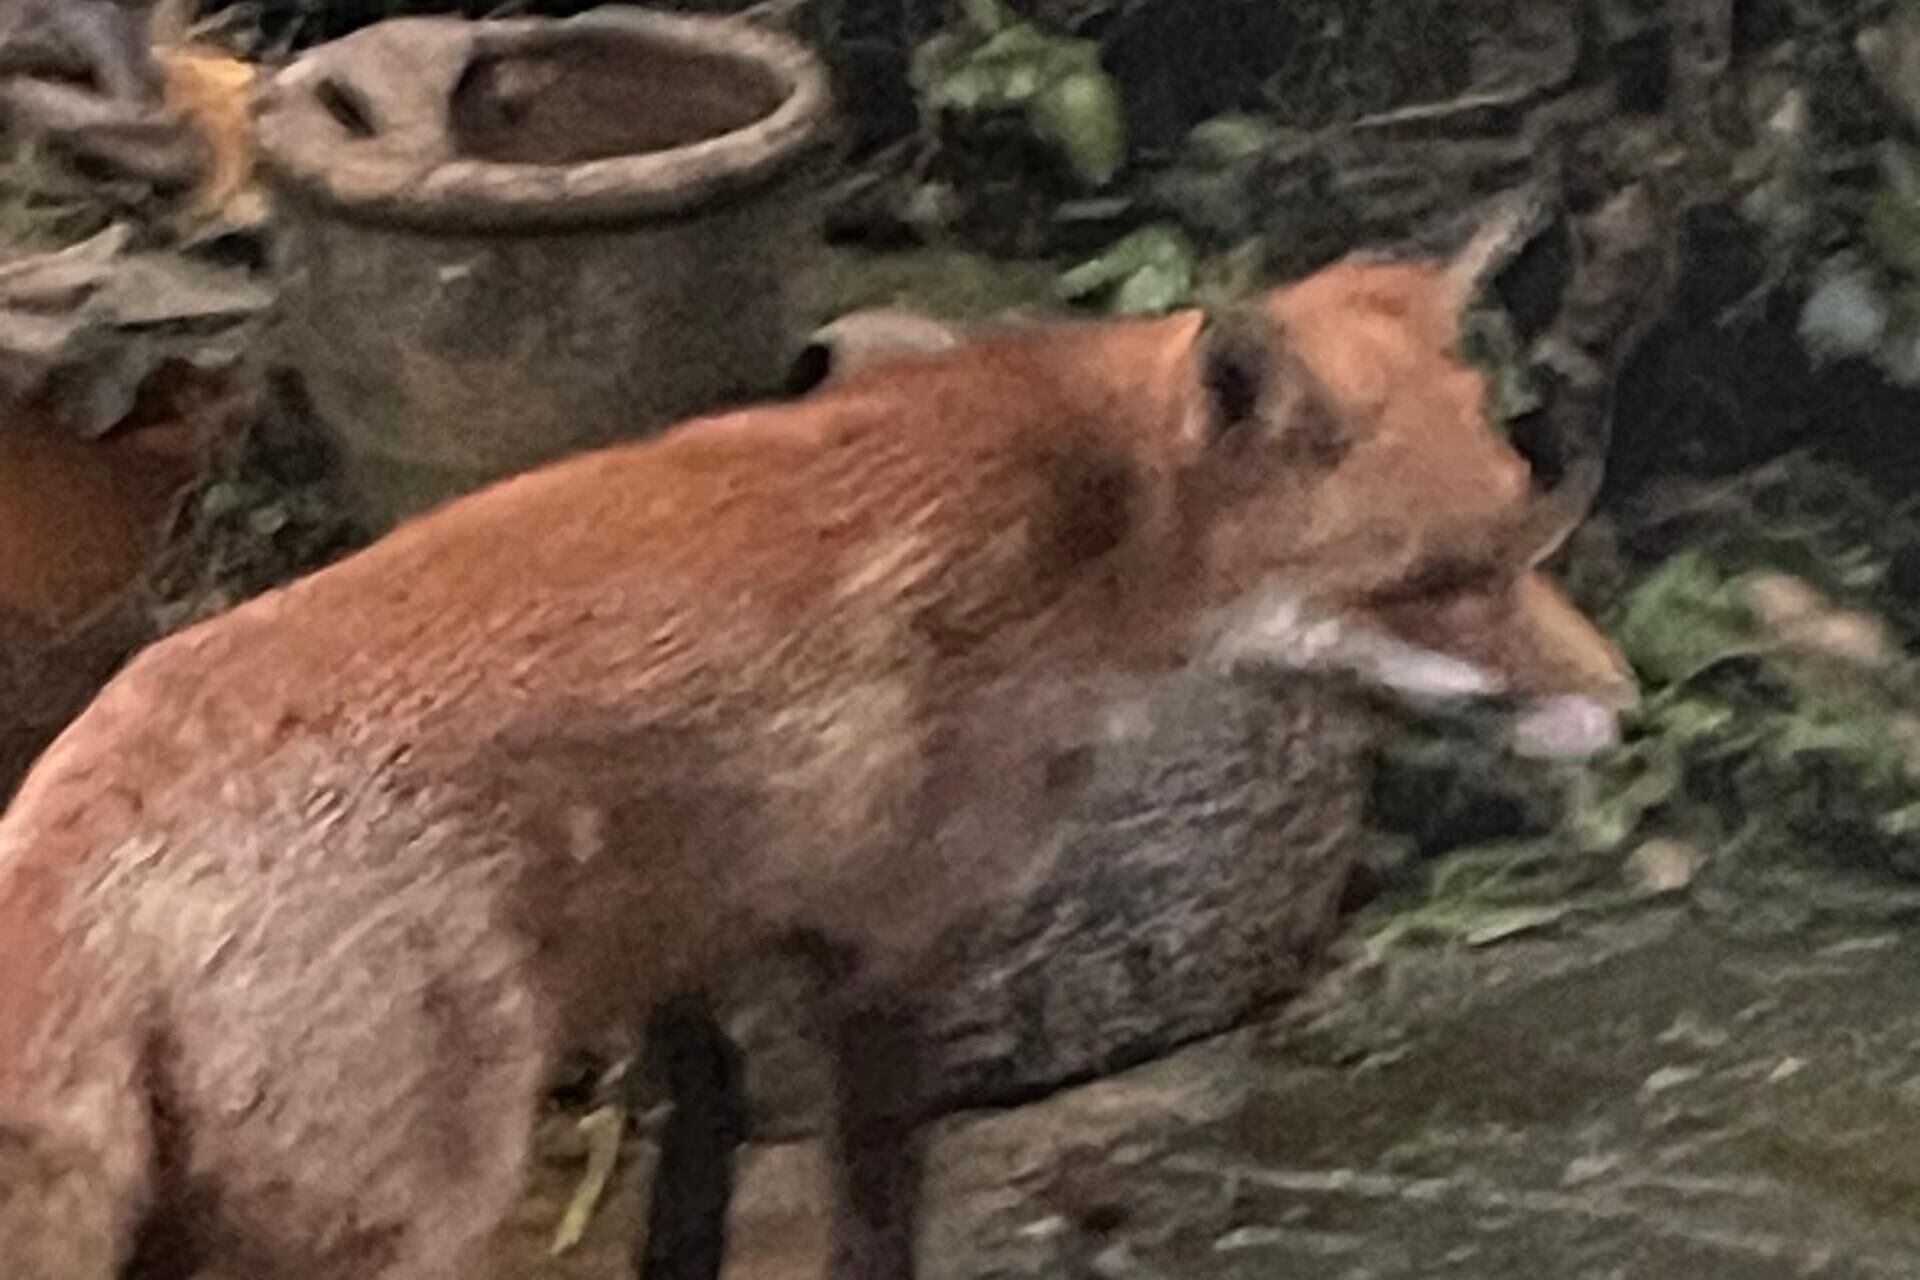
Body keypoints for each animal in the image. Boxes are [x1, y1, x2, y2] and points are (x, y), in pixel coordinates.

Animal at [0, 184, 1663, 1280]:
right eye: (1442, 579)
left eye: (1527, 535)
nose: (1633, 709)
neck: (1068, 552)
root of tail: (82, 799)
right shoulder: (890, 951)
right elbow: (873, 1229)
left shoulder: (699, 955)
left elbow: (690, 1208)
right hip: (402, 1218)